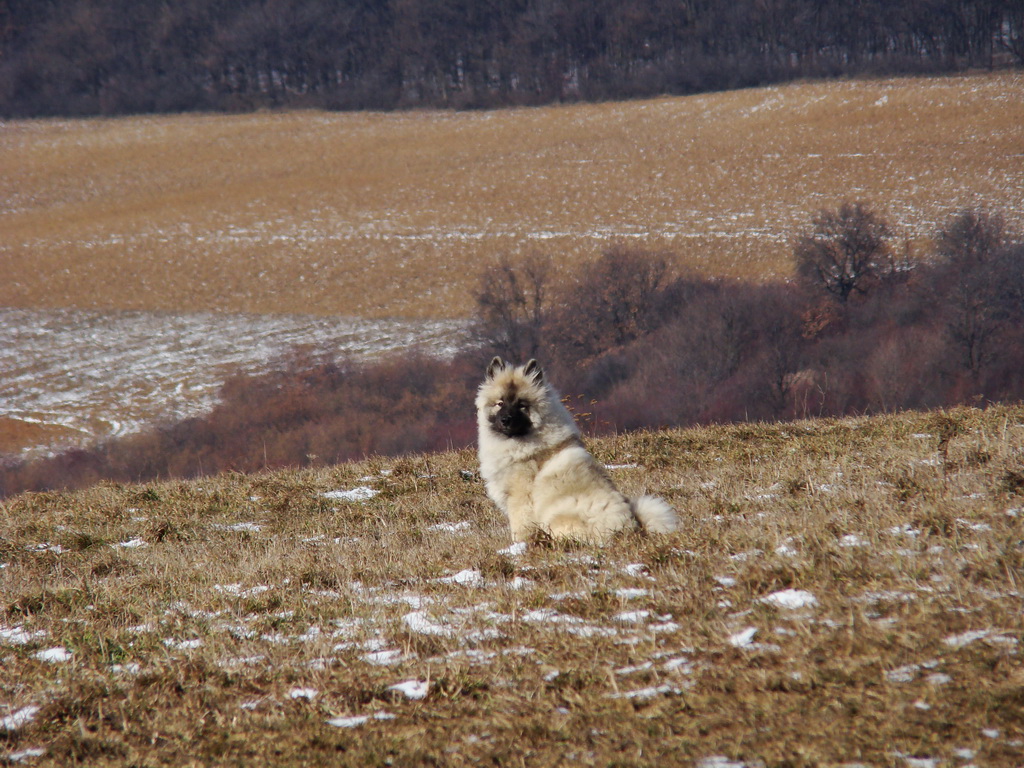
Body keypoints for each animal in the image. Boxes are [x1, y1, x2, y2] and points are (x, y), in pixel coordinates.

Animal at [477, 358, 679, 544]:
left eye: (521, 405)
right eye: (500, 403)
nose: (506, 420)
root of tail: (633, 528)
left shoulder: (520, 498)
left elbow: (521, 528)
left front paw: (520, 547)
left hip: (559, 519)